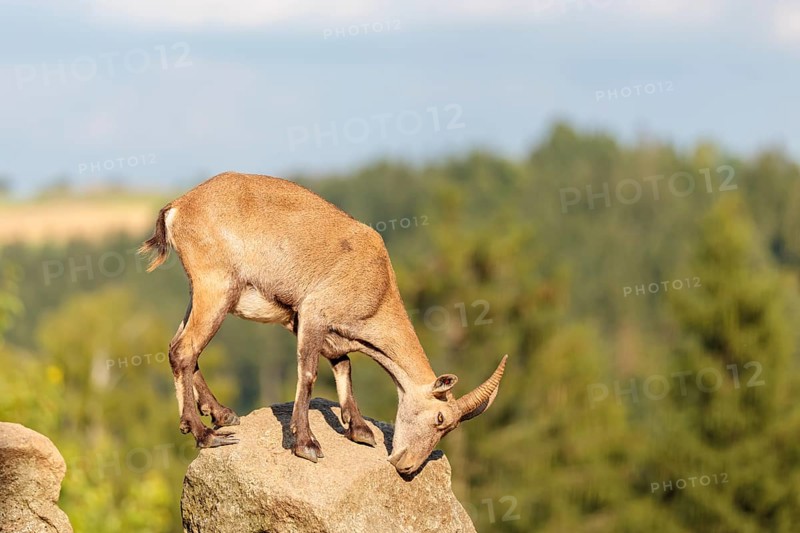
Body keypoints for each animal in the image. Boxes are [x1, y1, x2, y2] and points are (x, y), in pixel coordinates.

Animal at [139, 172, 507, 475]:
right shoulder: (313, 313)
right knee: (184, 350)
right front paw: (306, 444)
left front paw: (359, 429)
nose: (406, 466)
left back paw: (221, 413)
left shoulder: (319, 328)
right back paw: (205, 434)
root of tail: (177, 207)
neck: (378, 286)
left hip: (202, 292)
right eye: (440, 418)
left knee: (179, 345)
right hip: (215, 286)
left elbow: (343, 365)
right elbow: (309, 374)